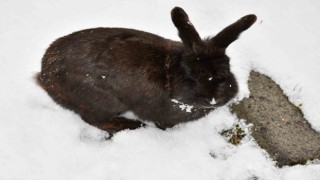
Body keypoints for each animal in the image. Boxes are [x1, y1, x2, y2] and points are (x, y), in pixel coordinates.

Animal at [37, 7, 258, 136]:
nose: (212, 99)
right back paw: (131, 126)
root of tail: (45, 75)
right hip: (106, 102)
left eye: (225, 72)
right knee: (94, 119)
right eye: (191, 75)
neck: (168, 73)